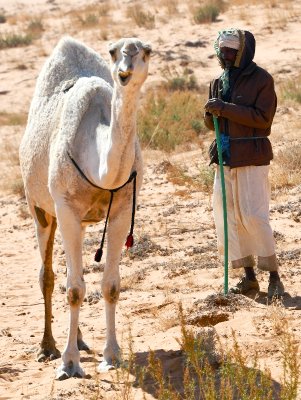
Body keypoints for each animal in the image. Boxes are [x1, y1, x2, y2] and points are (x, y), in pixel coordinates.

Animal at [18, 36, 151, 380]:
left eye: (146, 52)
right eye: (114, 51)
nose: (125, 69)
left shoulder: (122, 210)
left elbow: (111, 285)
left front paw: (112, 356)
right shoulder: (64, 207)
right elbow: (74, 290)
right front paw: (68, 363)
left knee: (69, 273)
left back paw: (78, 340)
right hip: (40, 208)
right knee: (49, 276)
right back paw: (47, 347)